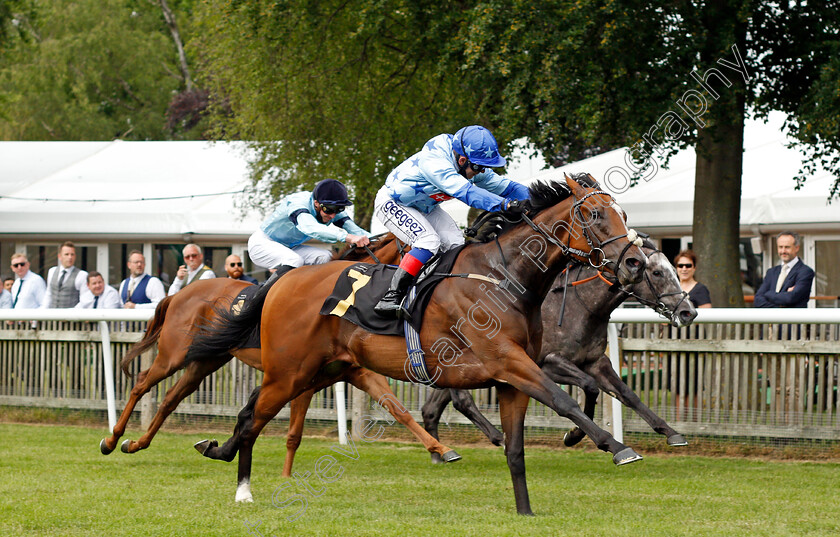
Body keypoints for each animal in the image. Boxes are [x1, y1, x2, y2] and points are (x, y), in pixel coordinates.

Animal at [190, 174, 648, 512]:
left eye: (624, 212)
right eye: (594, 214)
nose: (635, 262)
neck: (503, 277)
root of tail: (283, 280)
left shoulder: (511, 378)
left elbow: (518, 447)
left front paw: (525, 510)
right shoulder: (510, 363)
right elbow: (565, 400)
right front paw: (616, 447)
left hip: (319, 370)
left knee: (249, 410)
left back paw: (217, 449)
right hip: (289, 371)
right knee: (252, 418)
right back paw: (243, 490)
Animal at [424, 241, 700, 458]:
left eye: (676, 271)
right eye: (657, 272)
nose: (689, 312)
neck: (583, 307)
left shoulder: (595, 361)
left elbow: (627, 394)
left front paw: (670, 432)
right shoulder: (546, 363)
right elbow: (589, 386)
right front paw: (575, 435)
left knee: (434, 406)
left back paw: (443, 453)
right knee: (460, 400)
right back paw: (494, 439)